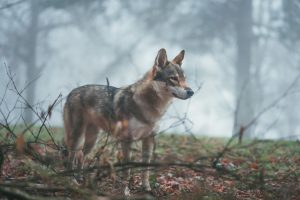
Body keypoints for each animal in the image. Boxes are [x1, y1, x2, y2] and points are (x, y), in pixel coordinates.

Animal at [63, 48, 195, 194]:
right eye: (173, 78)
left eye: (184, 79)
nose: (191, 92)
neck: (150, 106)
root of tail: (71, 92)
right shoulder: (127, 140)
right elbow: (127, 171)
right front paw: (125, 191)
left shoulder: (149, 140)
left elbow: (145, 170)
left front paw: (146, 188)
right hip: (77, 137)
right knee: (70, 159)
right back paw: (71, 181)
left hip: (92, 140)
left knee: (80, 156)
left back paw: (80, 179)